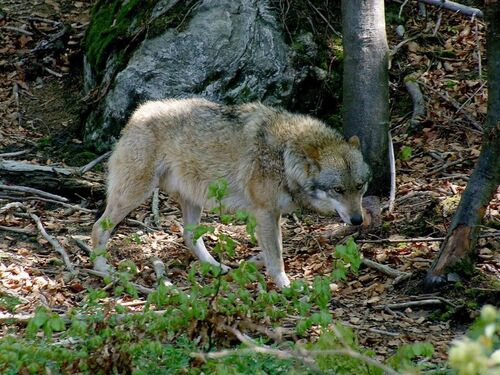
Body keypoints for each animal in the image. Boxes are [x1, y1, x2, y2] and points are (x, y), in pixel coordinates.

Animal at [91, 98, 372, 290]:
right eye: (338, 190)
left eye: (359, 186)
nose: (358, 220)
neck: (285, 155)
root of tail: (138, 113)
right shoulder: (265, 213)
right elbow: (276, 257)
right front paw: (286, 286)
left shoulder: (273, 214)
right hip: (135, 194)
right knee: (98, 227)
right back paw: (103, 270)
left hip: (192, 200)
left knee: (189, 236)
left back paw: (216, 267)